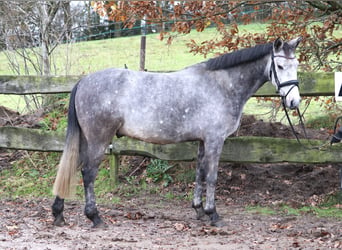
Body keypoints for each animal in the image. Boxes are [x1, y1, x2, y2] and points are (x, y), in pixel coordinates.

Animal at [52, 36, 300, 227]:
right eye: (280, 67)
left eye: (296, 65)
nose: (294, 102)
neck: (221, 85)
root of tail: (83, 81)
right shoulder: (215, 140)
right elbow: (212, 176)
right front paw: (213, 214)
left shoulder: (203, 141)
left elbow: (200, 173)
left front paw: (199, 210)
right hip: (99, 139)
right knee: (88, 173)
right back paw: (95, 217)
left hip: (86, 140)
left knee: (71, 168)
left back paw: (58, 214)